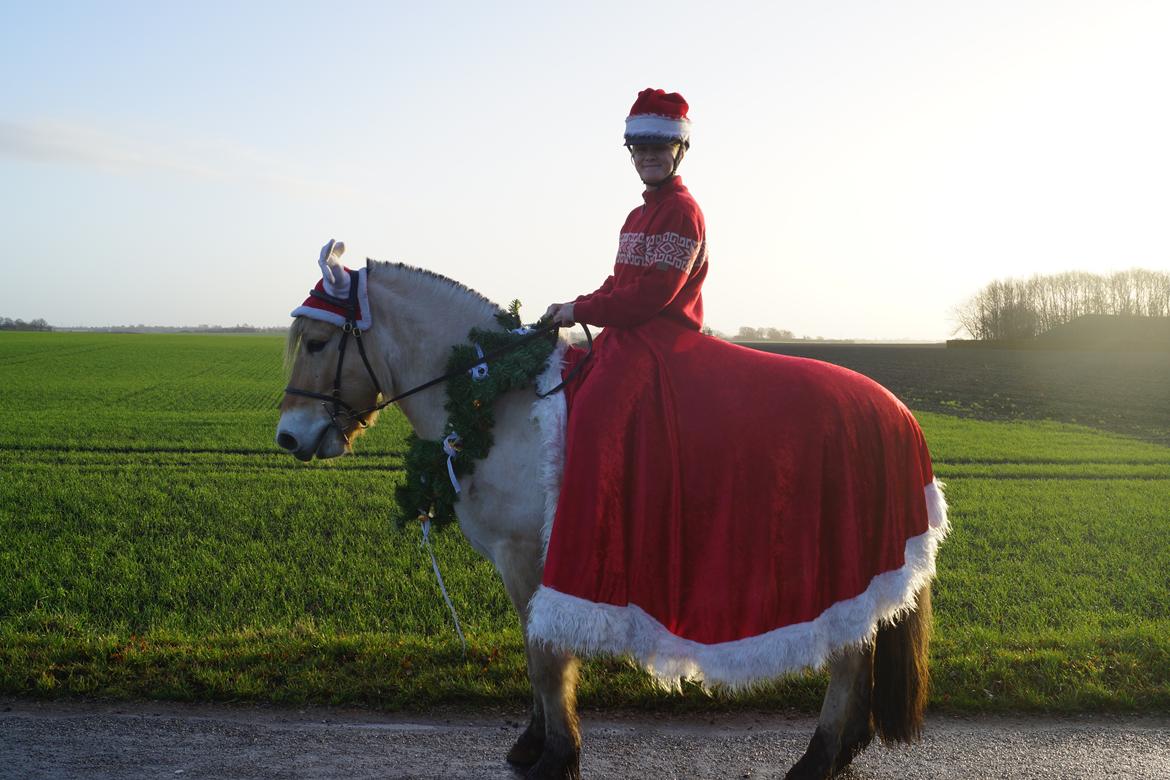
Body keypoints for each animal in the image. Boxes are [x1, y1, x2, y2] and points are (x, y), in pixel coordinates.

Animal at [278, 246, 945, 780]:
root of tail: (898, 411)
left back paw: (818, 756)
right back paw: (843, 747)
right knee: (860, 639)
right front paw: (535, 742)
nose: (288, 436)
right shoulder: (520, 561)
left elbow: (546, 655)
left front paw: (557, 755)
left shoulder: (527, 553)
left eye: (316, 342)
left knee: (849, 653)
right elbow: (534, 651)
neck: (496, 395)